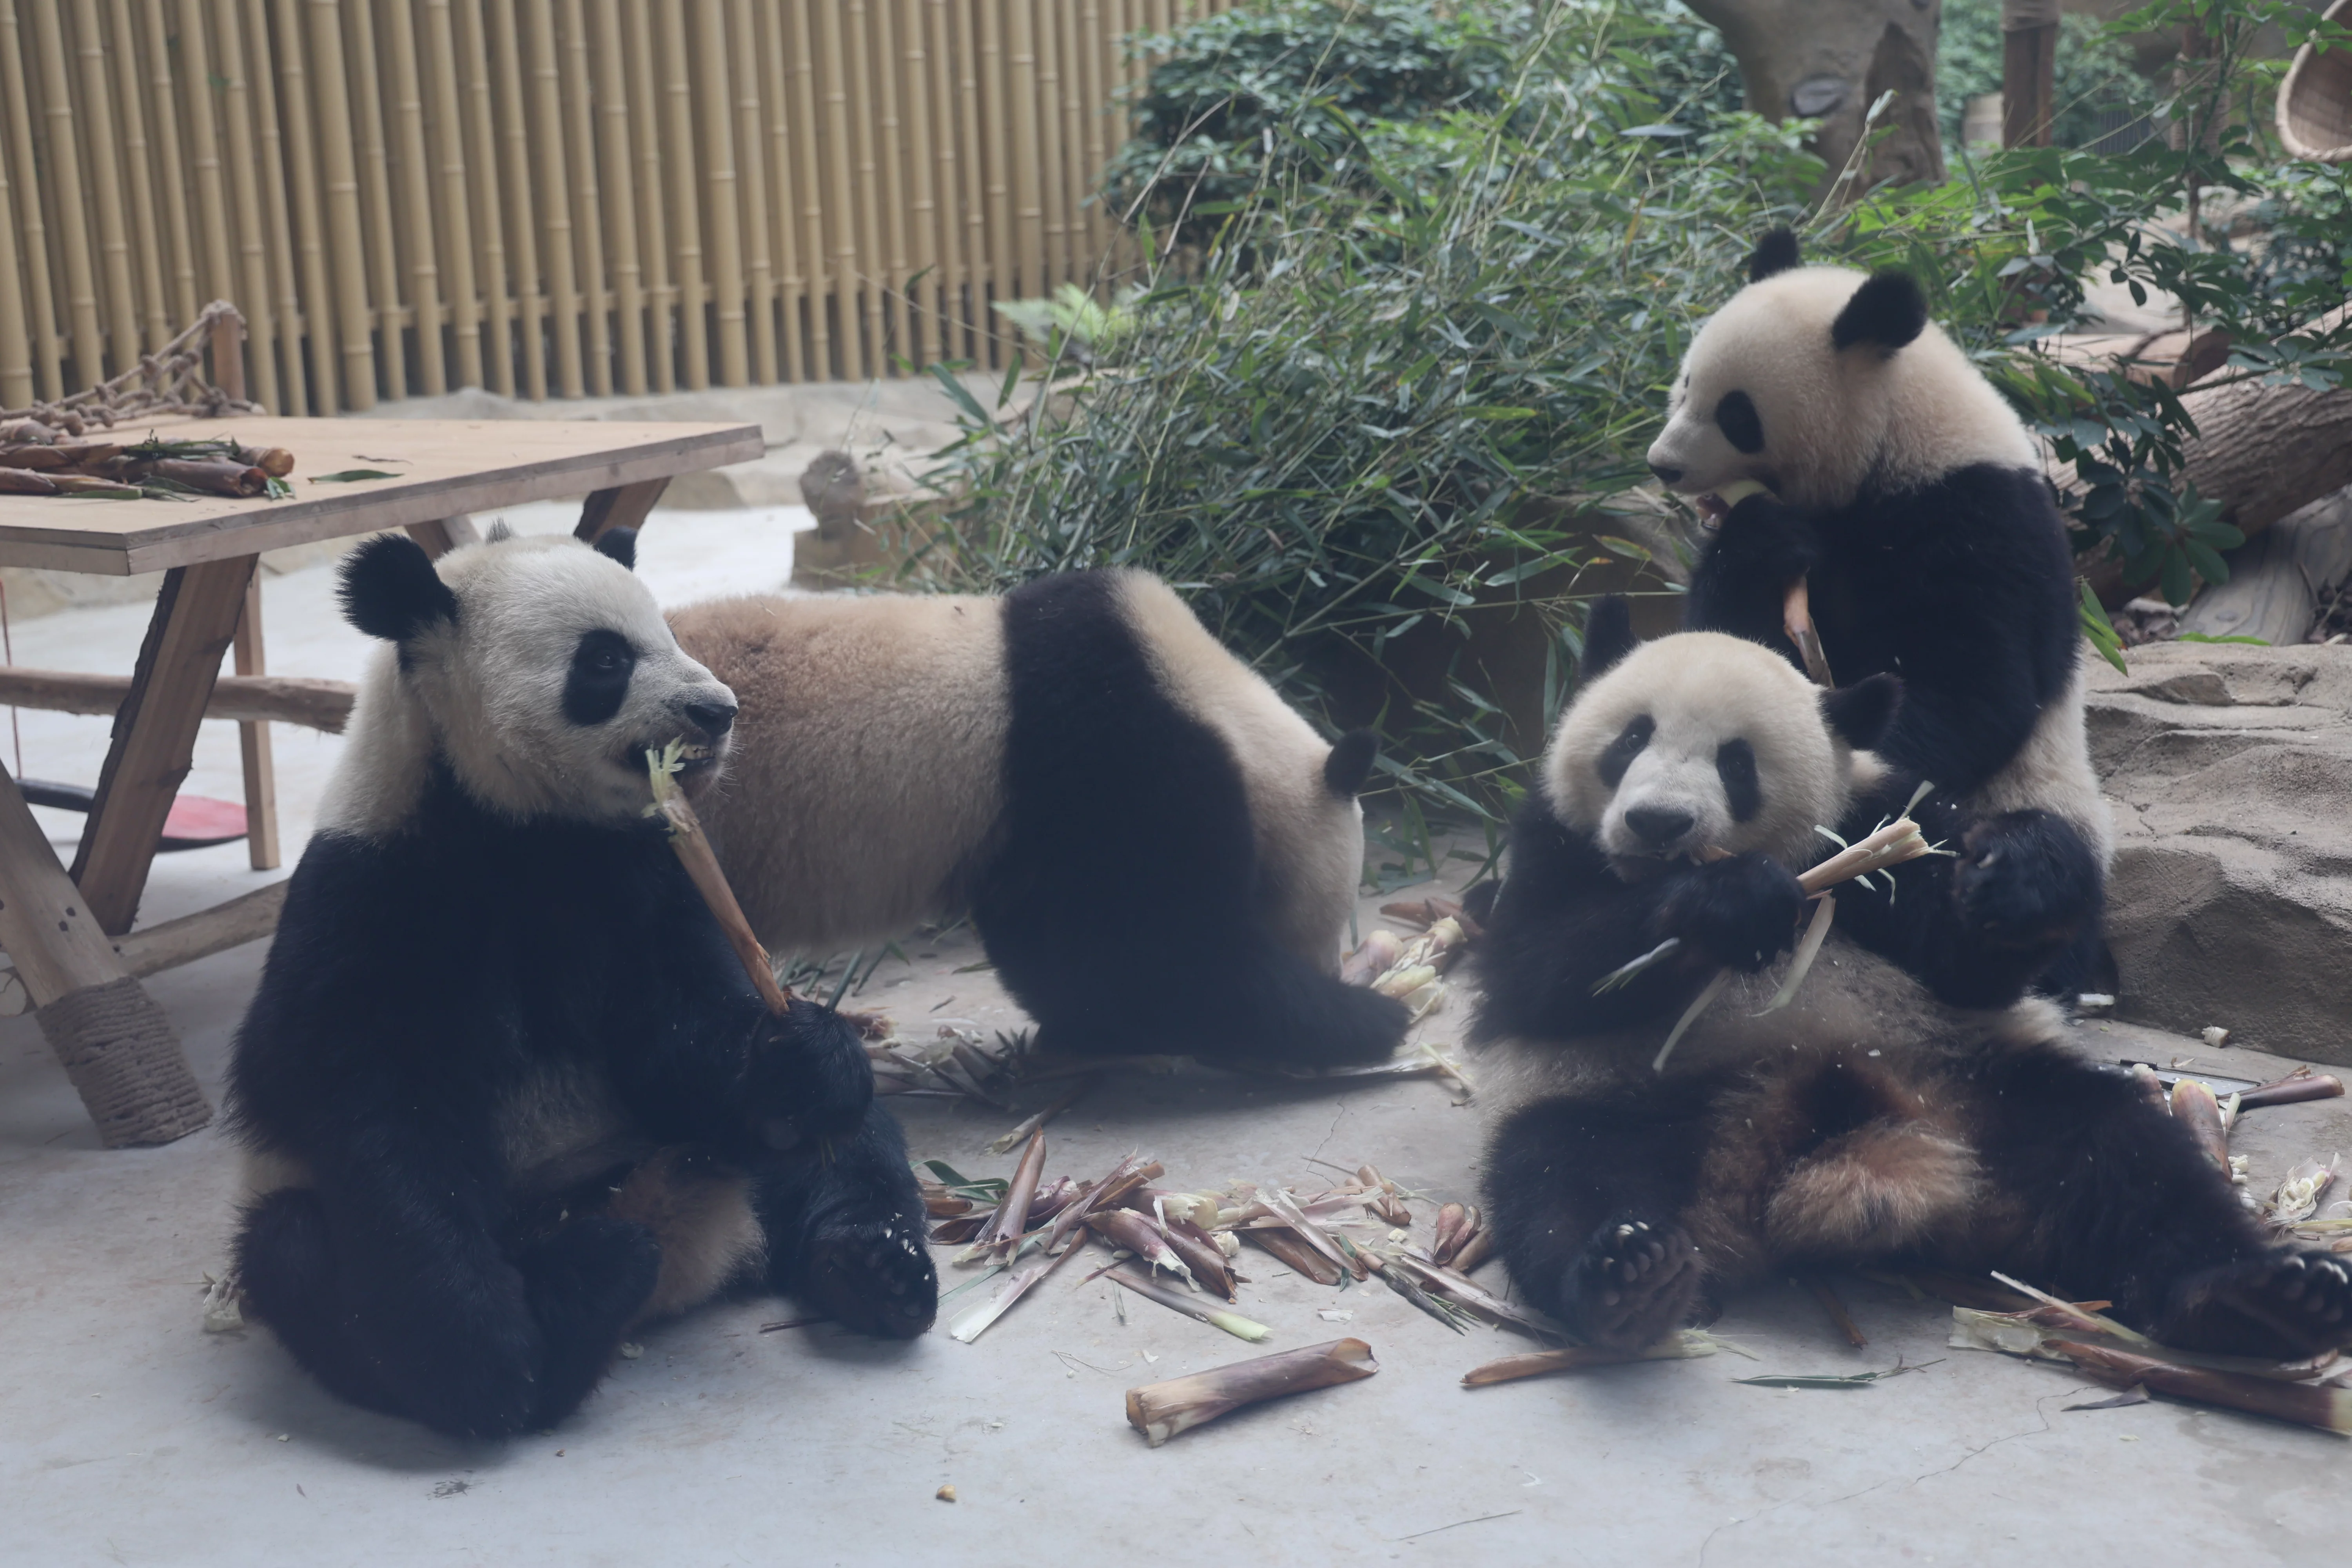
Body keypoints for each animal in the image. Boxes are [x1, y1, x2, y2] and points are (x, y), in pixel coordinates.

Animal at [227, 527, 936, 1440]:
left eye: (667, 630)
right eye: (605, 659)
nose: (719, 710)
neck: (518, 823)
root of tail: (697, 1258)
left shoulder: (638, 872)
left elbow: (677, 1038)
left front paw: (803, 1057)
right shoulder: (373, 897)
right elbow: (377, 1113)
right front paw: (484, 1350)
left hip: (704, 1153)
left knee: (844, 1151)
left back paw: (873, 1266)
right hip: (313, 1209)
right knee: (297, 1255)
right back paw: (570, 1310)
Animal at [666, 568, 1407, 1067]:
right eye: (1334, 912)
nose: (1335, 968)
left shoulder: (1030, 821)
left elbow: (1056, 947)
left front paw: (1085, 1027)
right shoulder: (1113, 759)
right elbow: (1169, 953)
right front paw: (1374, 1019)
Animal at [1470, 604, 2352, 1360]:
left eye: (1736, 762)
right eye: (1631, 738)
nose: (1658, 823)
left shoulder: (1878, 819)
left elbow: (1966, 960)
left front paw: (2023, 878)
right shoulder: (1551, 842)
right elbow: (1539, 973)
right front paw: (1731, 901)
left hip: (1980, 1088)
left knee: (2126, 1159)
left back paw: (2263, 1298)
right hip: (1637, 1101)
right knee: (1562, 1179)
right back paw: (1628, 1277)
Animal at [1646, 227, 2111, 1000]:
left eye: (1737, 413)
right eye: (1684, 385)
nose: (1663, 464)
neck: (1898, 437)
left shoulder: (1980, 523)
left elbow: (1970, 691)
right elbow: (1724, 653)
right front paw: (1761, 541)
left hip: (2047, 789)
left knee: (2029, 854)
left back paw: (2001, 915)